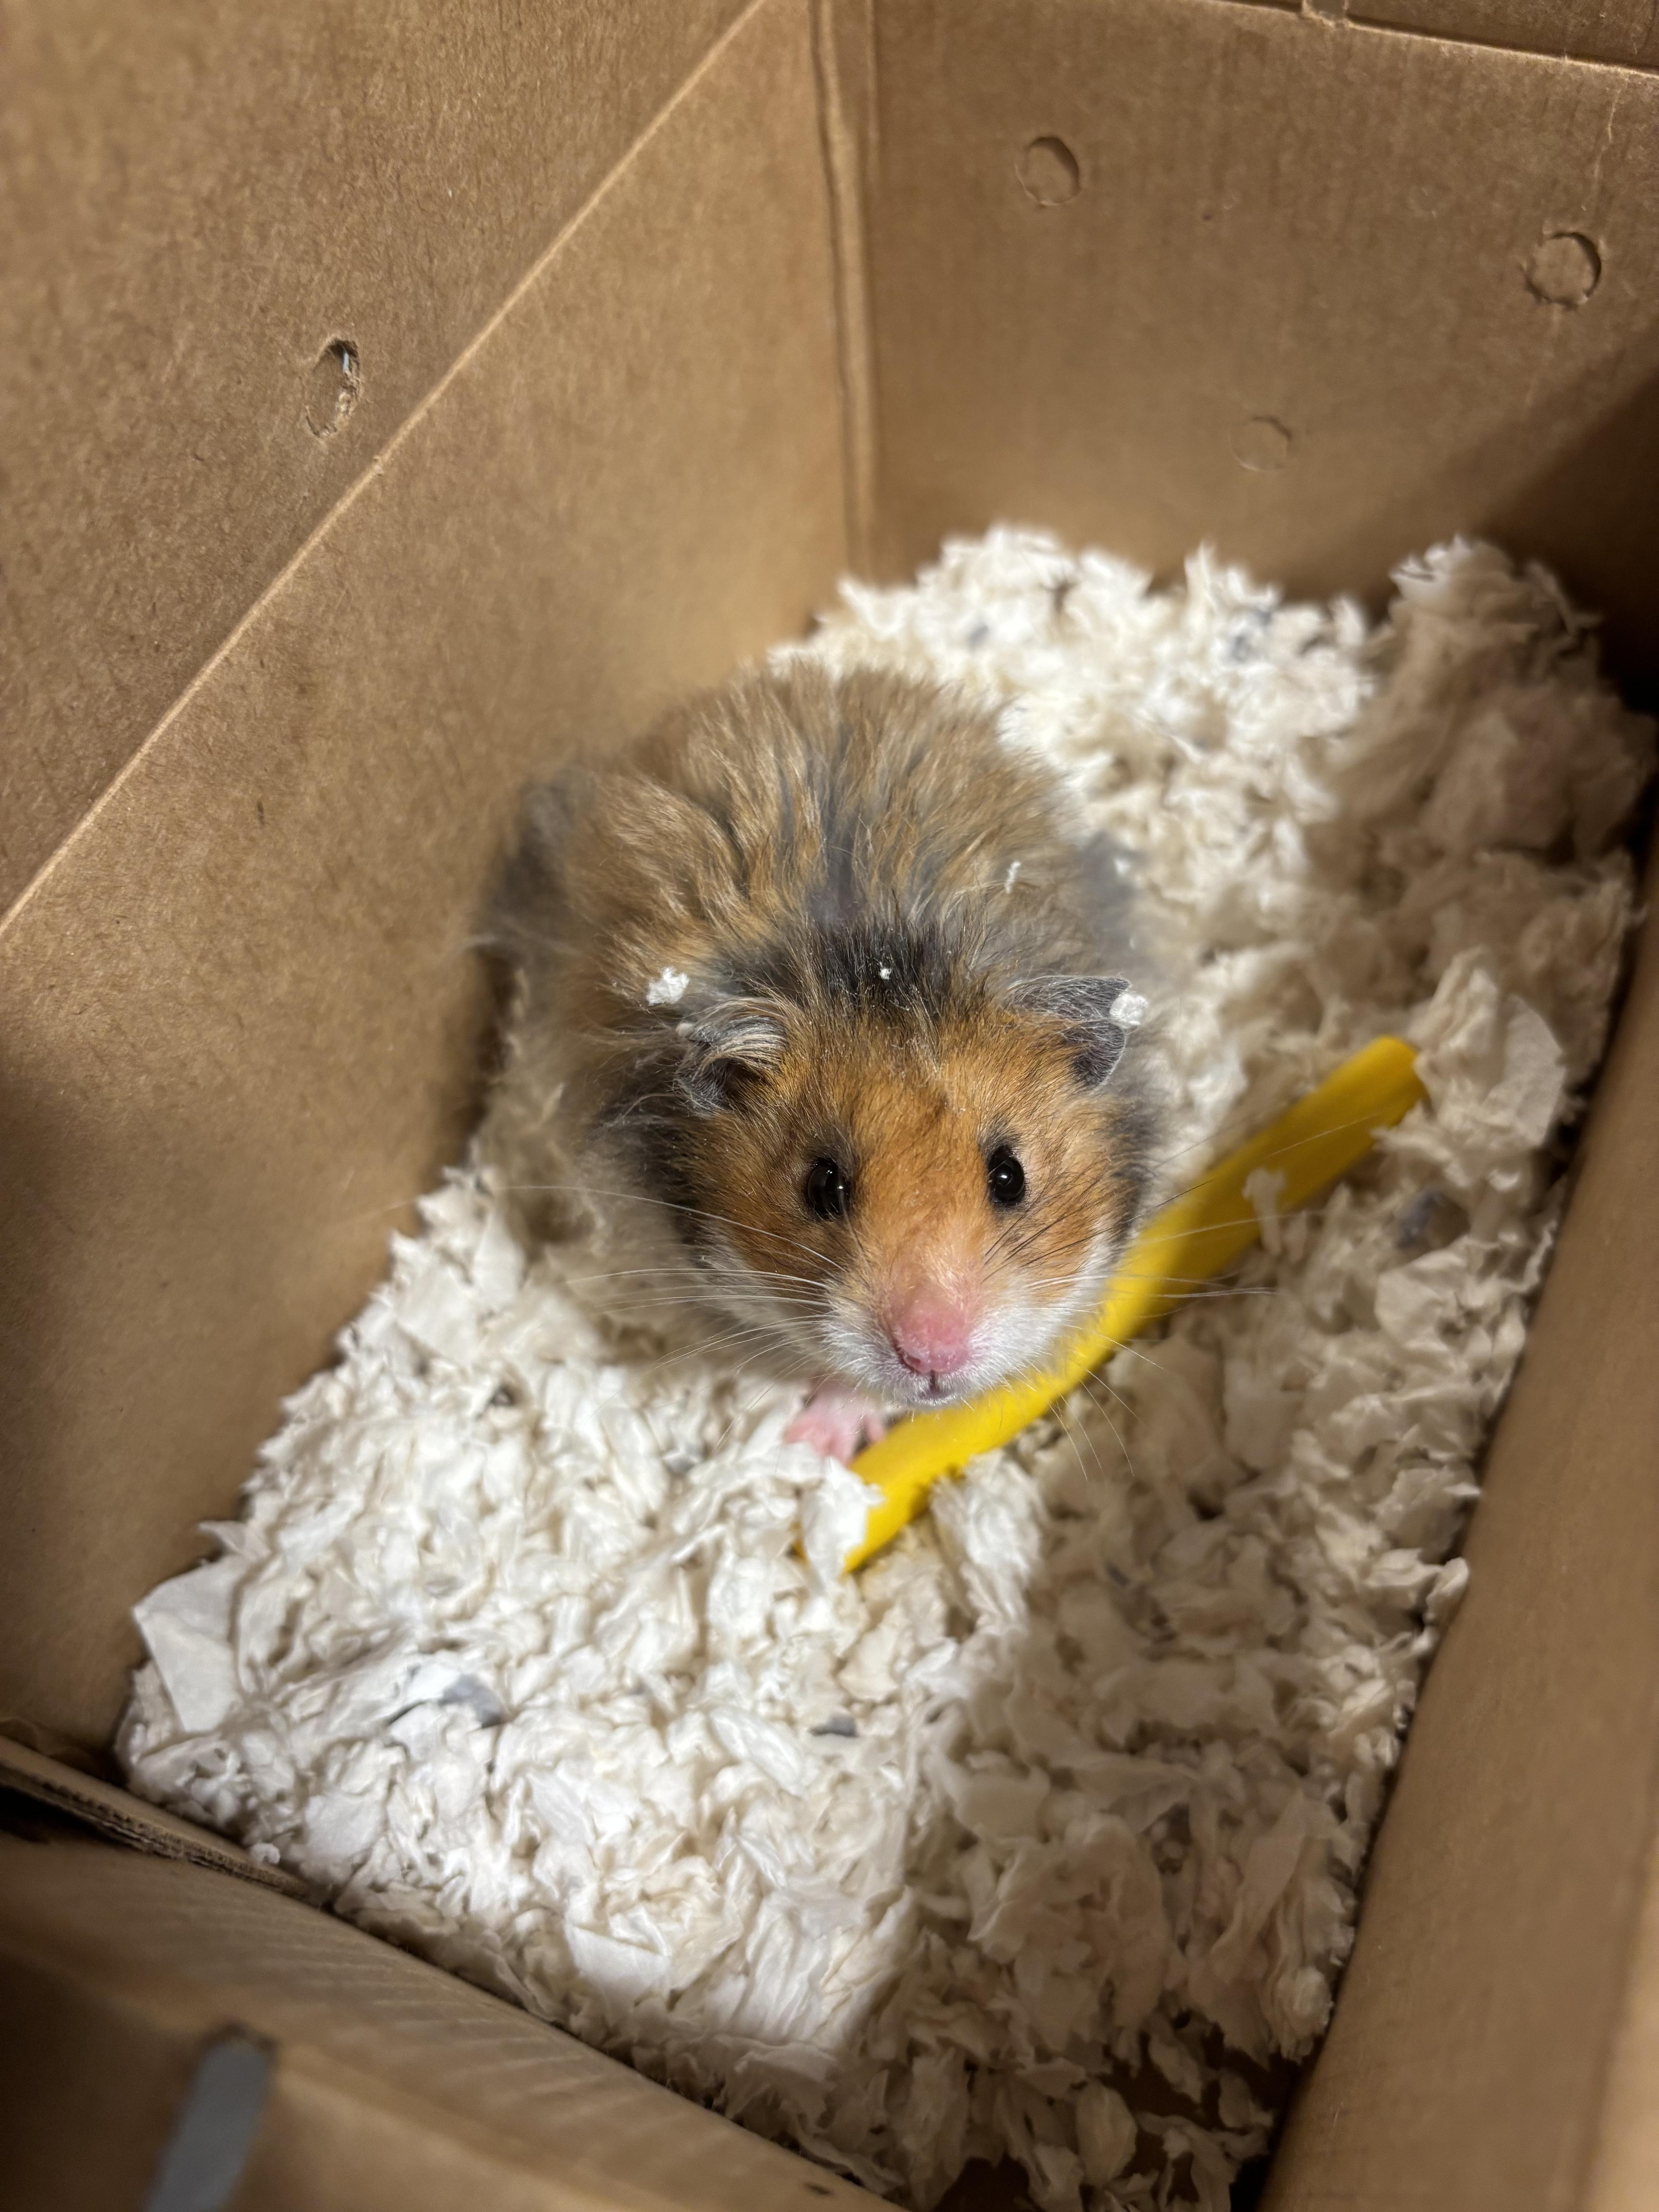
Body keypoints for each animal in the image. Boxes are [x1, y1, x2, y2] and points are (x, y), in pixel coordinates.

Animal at [483, 661, 1157, 1464]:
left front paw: (815, 1440)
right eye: (821, 1185)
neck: (882, 963)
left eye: (1009, 1176)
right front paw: (806, 1445)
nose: (932, 1358)